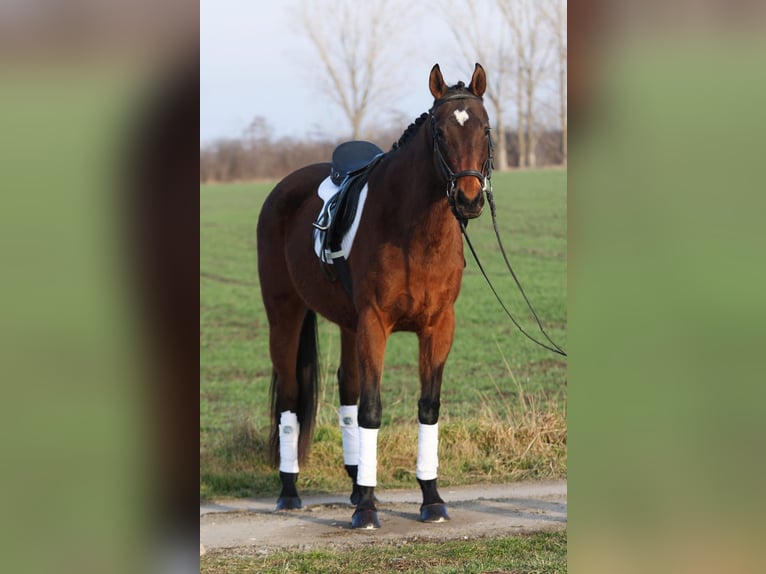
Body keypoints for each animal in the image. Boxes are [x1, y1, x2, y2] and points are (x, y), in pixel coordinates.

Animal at [258, 63, 496, 532]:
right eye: (440, 131)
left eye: (485, 127)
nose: (469, 199)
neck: (414, 230)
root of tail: (284, 187)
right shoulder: (374, 323)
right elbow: (371, 409)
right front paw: (367, 509)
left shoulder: (439, 326)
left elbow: (427, 407)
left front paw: (431, 498)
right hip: (285, 314)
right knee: (291, 396)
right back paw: (290, 492)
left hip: (348, 324)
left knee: (346, 389)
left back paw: (354, 483)